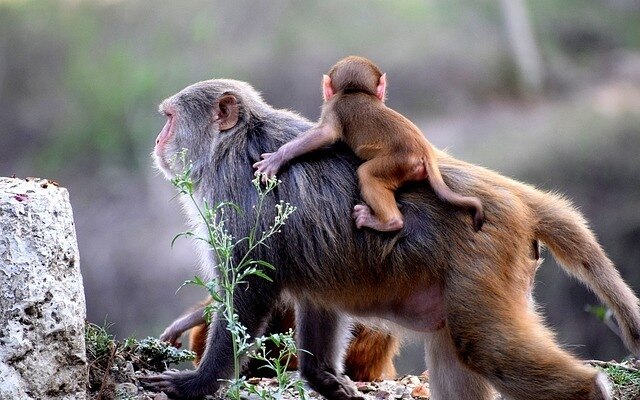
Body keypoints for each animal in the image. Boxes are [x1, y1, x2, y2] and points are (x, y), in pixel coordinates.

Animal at [145, 79, 640, 400]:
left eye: (168, 119)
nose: (157, 141)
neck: (229, 146)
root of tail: (510, 195)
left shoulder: (233, 196)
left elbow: (251, 285)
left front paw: (198, 382)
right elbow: (317, 296)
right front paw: (325, 379)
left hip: (484, 257)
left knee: (484, 347)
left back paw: (590, 388)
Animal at [252, 55, 482, 231]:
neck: (354, 92)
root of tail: (424, 151)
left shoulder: (334, 106)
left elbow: (326, 134)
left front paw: (277, 157)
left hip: (399, 163)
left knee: (367, 174)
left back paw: (389, 223)